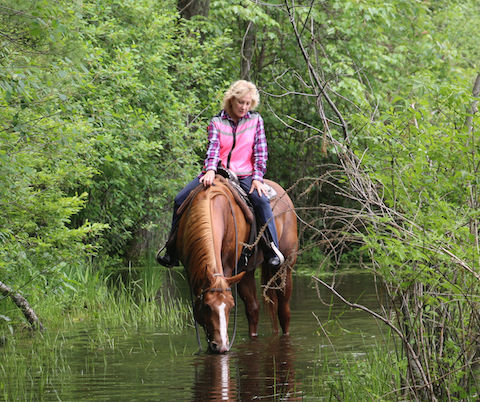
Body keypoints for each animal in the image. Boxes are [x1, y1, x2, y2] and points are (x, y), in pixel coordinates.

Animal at [174, 175, 298, 352]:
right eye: (206, 306)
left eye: (231, 306)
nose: (221, 346)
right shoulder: (191, 269)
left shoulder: (227, 267)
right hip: (246, 272)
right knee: (253, 310)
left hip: (284, 269)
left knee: (283, 311)